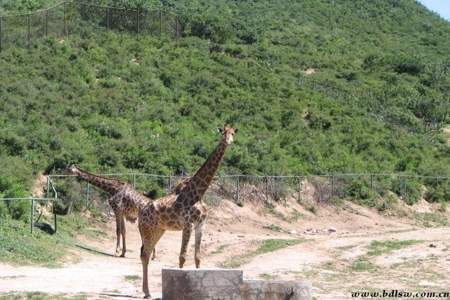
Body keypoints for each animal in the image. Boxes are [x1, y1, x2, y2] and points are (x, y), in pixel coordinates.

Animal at [137, 124, 237, 298]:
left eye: (232, 133)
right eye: (223, 132)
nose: (228, 141)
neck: (199, 193)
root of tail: (140, 212)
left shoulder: (201, 224)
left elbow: (197, 257)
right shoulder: (188, 224)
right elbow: (182, 257)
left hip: (158, 230)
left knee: (146, 254)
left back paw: (146, 292)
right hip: (147, 230)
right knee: (144, 254)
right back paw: (147, 292)